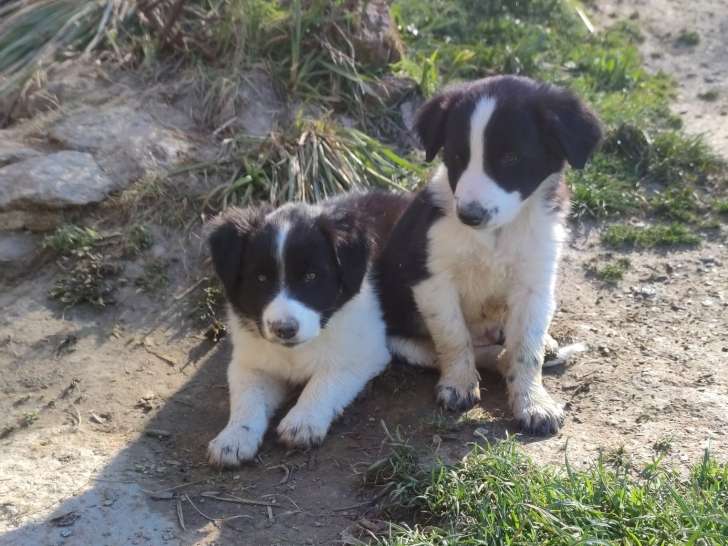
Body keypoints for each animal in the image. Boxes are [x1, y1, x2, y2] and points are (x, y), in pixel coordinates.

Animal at [206, 192, 410, 466]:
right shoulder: (250, 362)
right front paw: (234, 437)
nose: (284, 329)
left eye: (311, 277)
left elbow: (325, 380)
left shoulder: (364, 352)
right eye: (260, 279)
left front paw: (303, 420)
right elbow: (247, 397)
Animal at [377, 75, 602, 435]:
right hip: (402, 339)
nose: (469, 215)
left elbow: (527, 350)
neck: (497, 234)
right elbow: (453, 338)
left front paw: (533, 402)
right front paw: (459, 384)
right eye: (456, 156)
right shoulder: (432, 280)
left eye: (510, 158)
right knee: (456, 350)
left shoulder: (535, 284)